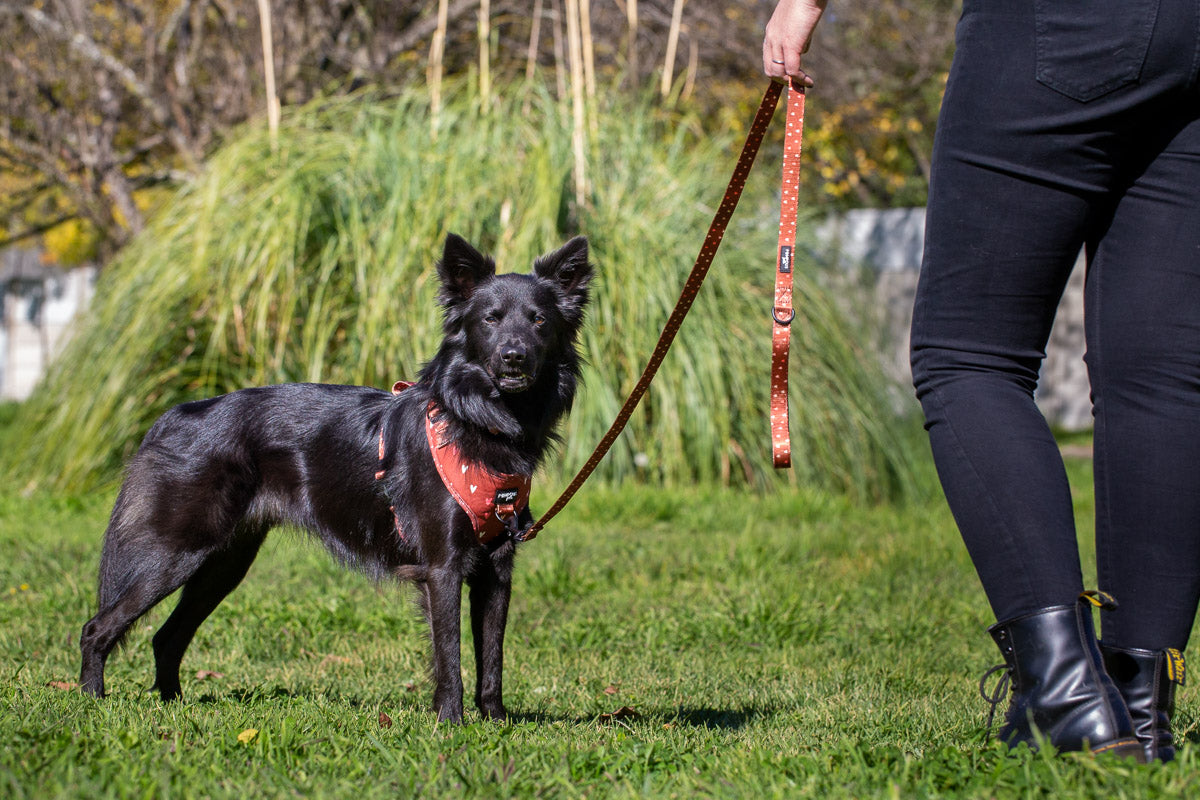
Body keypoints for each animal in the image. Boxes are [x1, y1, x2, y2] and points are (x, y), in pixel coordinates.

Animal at [77, 232, 592, 724]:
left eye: (539, 321)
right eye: (490, 319)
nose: (514, 357)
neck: (476, 421)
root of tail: (178, 414)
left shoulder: (496, 571)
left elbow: (492, 659)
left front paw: (497, 724)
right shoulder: (442, 568)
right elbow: (451, 657)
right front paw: (451, 724)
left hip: (222, 565)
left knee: (166, 636)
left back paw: (173, 705)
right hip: (176, 553)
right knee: (97, 628)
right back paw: (91, 700)